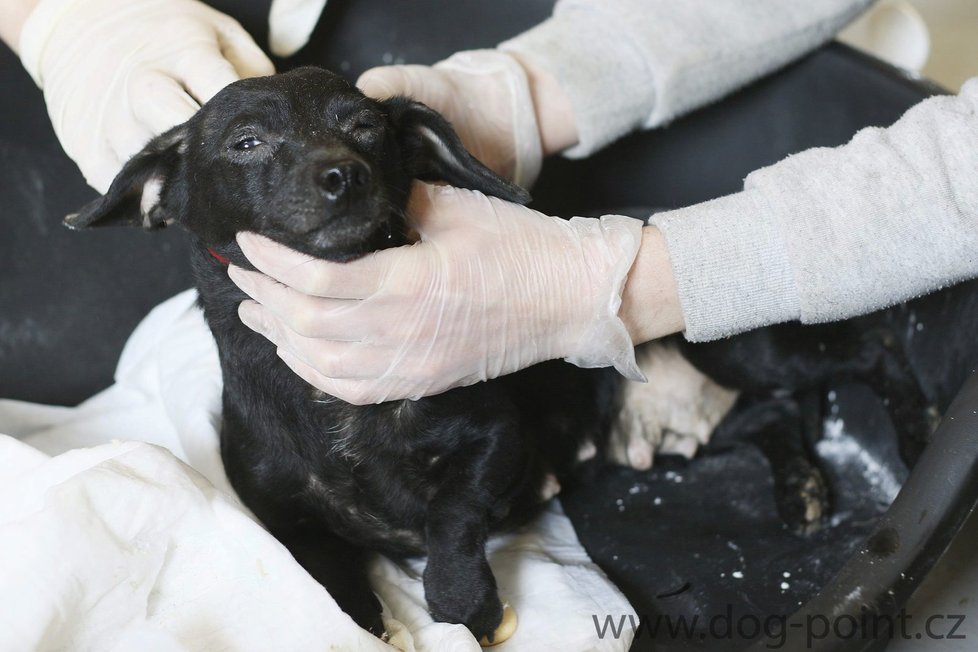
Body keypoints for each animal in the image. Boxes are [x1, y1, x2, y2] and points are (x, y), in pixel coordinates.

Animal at [66, 67, 608, 640]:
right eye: (245, 142)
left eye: (365, 127)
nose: (343, 174)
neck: (331, 396)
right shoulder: (284, 518)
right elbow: (329, 578)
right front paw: (360, 621)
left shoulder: (497, 436)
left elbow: (454, 512)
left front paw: (460, 597)